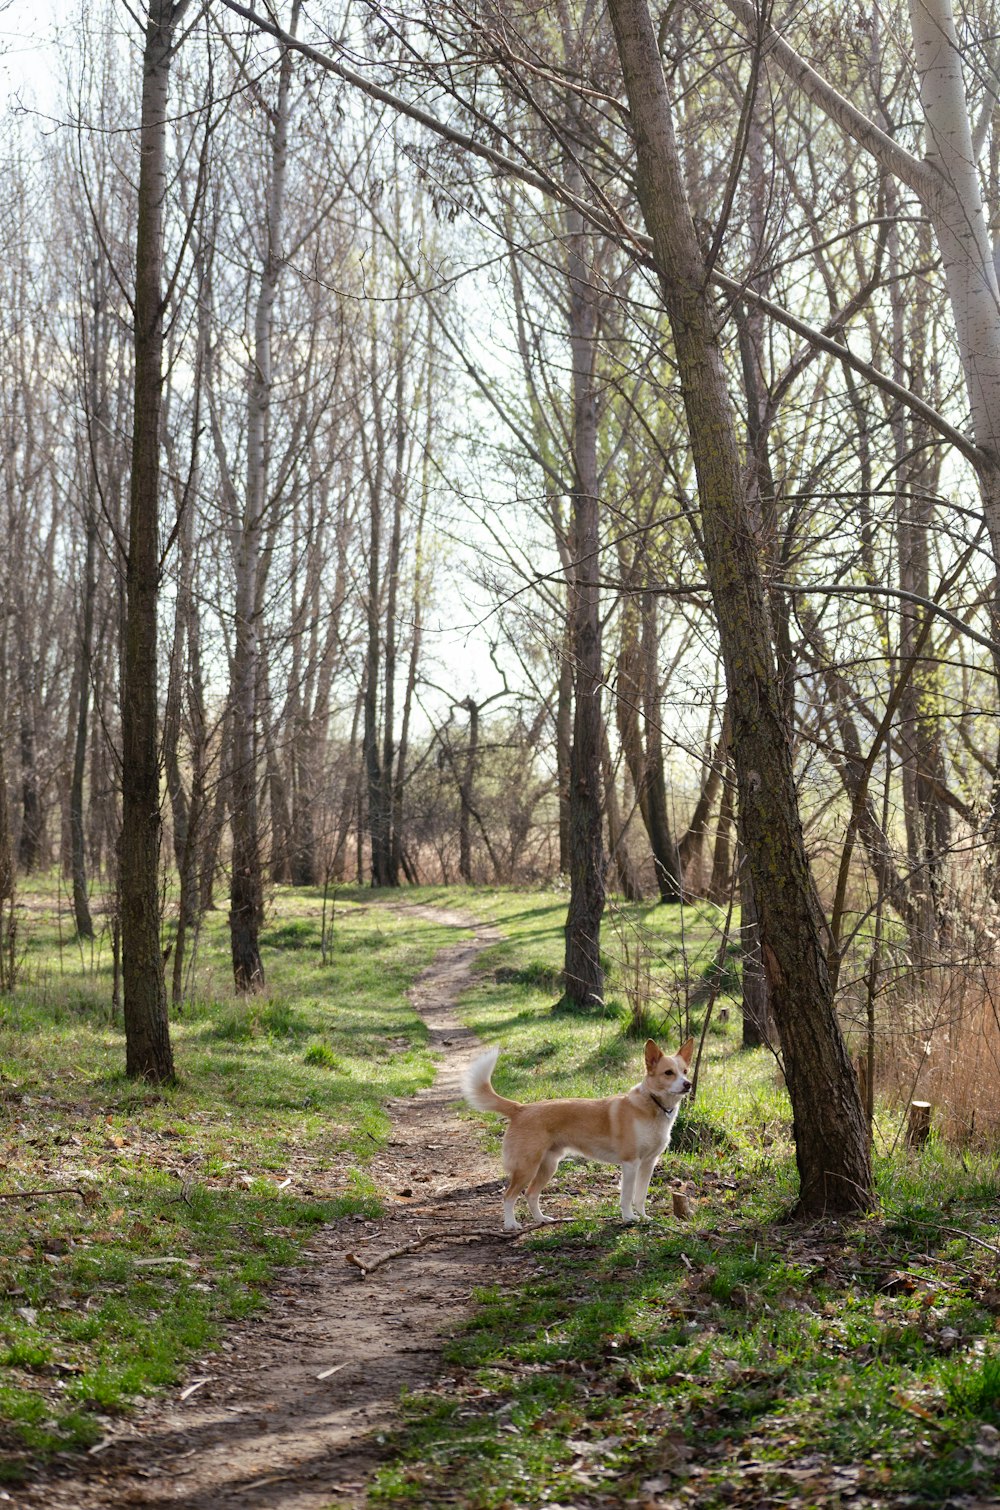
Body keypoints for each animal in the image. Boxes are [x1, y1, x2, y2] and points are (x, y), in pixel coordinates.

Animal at [465, 1032, 694, 1232]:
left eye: (685, 1071)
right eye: (668, 1073)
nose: (688, 1084)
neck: (652, 1105)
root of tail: (521, 1108)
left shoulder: (648, 1163)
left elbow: (640, 1196)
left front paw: (644, 1218)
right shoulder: (631, 1163)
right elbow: (627, 1196)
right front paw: (629, 1218)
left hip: (548, 1166)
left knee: (530, 1194)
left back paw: (541, 1219)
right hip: (526, 1167)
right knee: (509, 1196)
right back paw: (511, 1224)